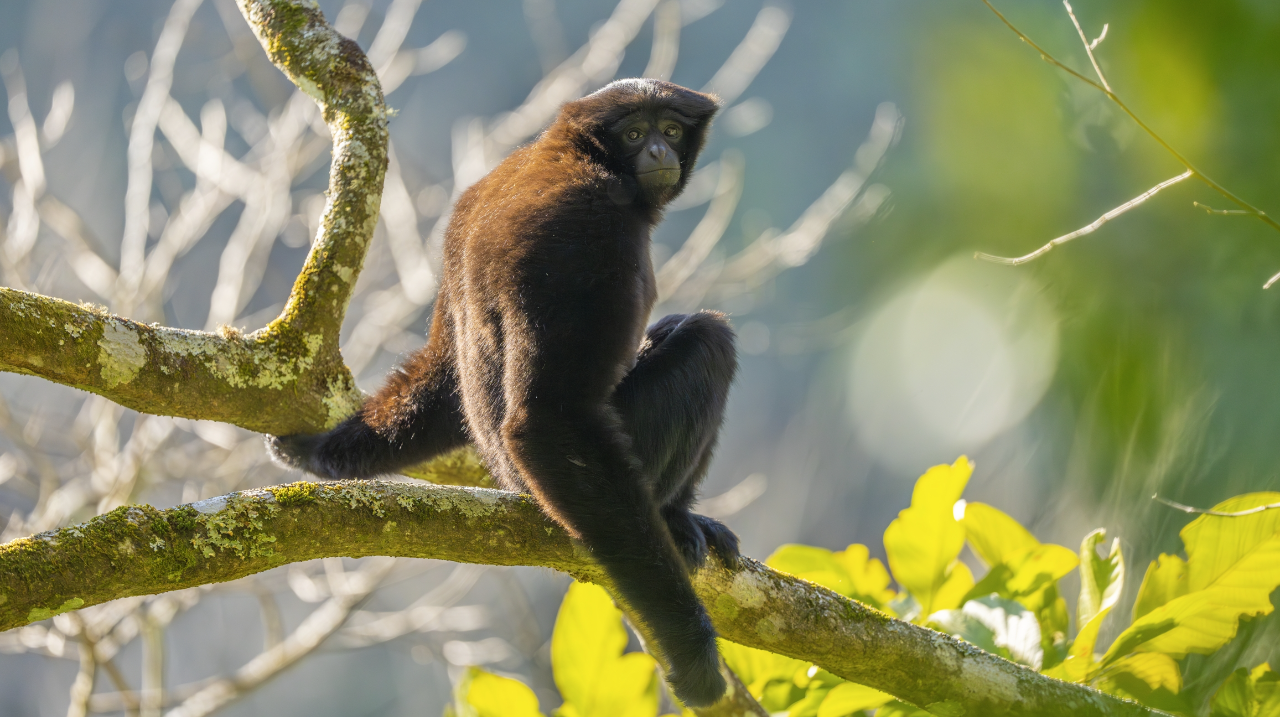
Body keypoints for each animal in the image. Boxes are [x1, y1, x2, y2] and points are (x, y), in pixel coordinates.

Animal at [269, 79, 738, 706]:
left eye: (670, 128)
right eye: (636, 133)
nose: (659, 150)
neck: (571, 151)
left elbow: (443, 375)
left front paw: (315, 449)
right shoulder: (587, 226)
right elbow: (549, 422)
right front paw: (691, 651)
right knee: (707, 340)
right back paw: (674, 517)